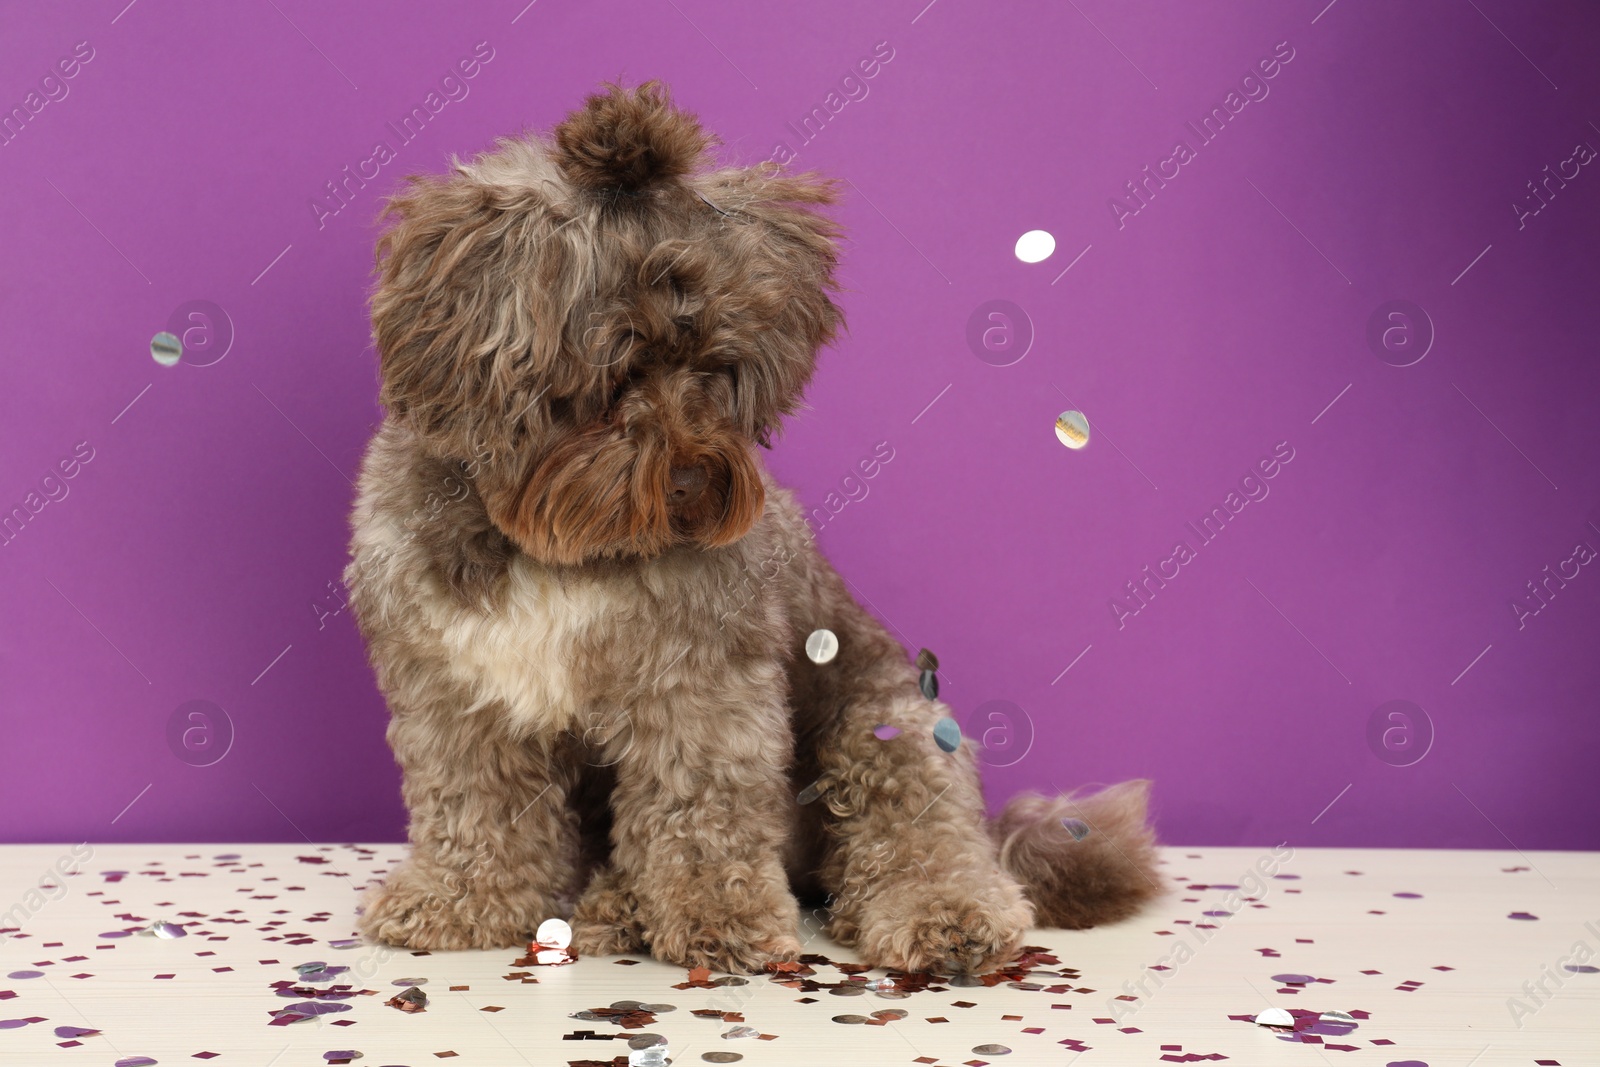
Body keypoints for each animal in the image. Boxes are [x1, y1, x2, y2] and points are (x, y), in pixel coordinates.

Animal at [344, 79, 1158, 972]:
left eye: (713, 364)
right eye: (614, 373)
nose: (695, 474)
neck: (561, 547)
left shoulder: (700, 687)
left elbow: (701, 814)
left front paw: (719, 916)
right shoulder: (456, 690)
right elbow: (476, 804)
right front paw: (459, 899)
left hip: (888, 730)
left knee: (917, 833)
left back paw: (944, 912)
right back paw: (615, 905)